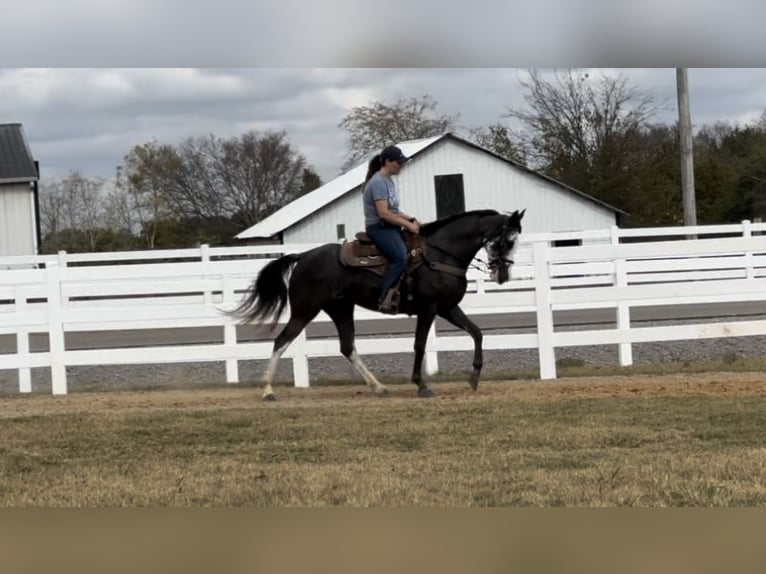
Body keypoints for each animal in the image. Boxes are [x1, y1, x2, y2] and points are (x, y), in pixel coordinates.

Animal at [231, 209, 524, 402]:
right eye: (508, 241)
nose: (503, 274)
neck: (440, 255)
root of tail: (302, 256)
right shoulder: (429, 309)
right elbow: (420, 344)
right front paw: (421, 385)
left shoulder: (448, 308)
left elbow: (477, 333)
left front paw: (474, 377)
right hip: (304, 310)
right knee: (282, 340)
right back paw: (268, 390)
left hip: (341, 309)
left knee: (347, 347)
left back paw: (379, 387)